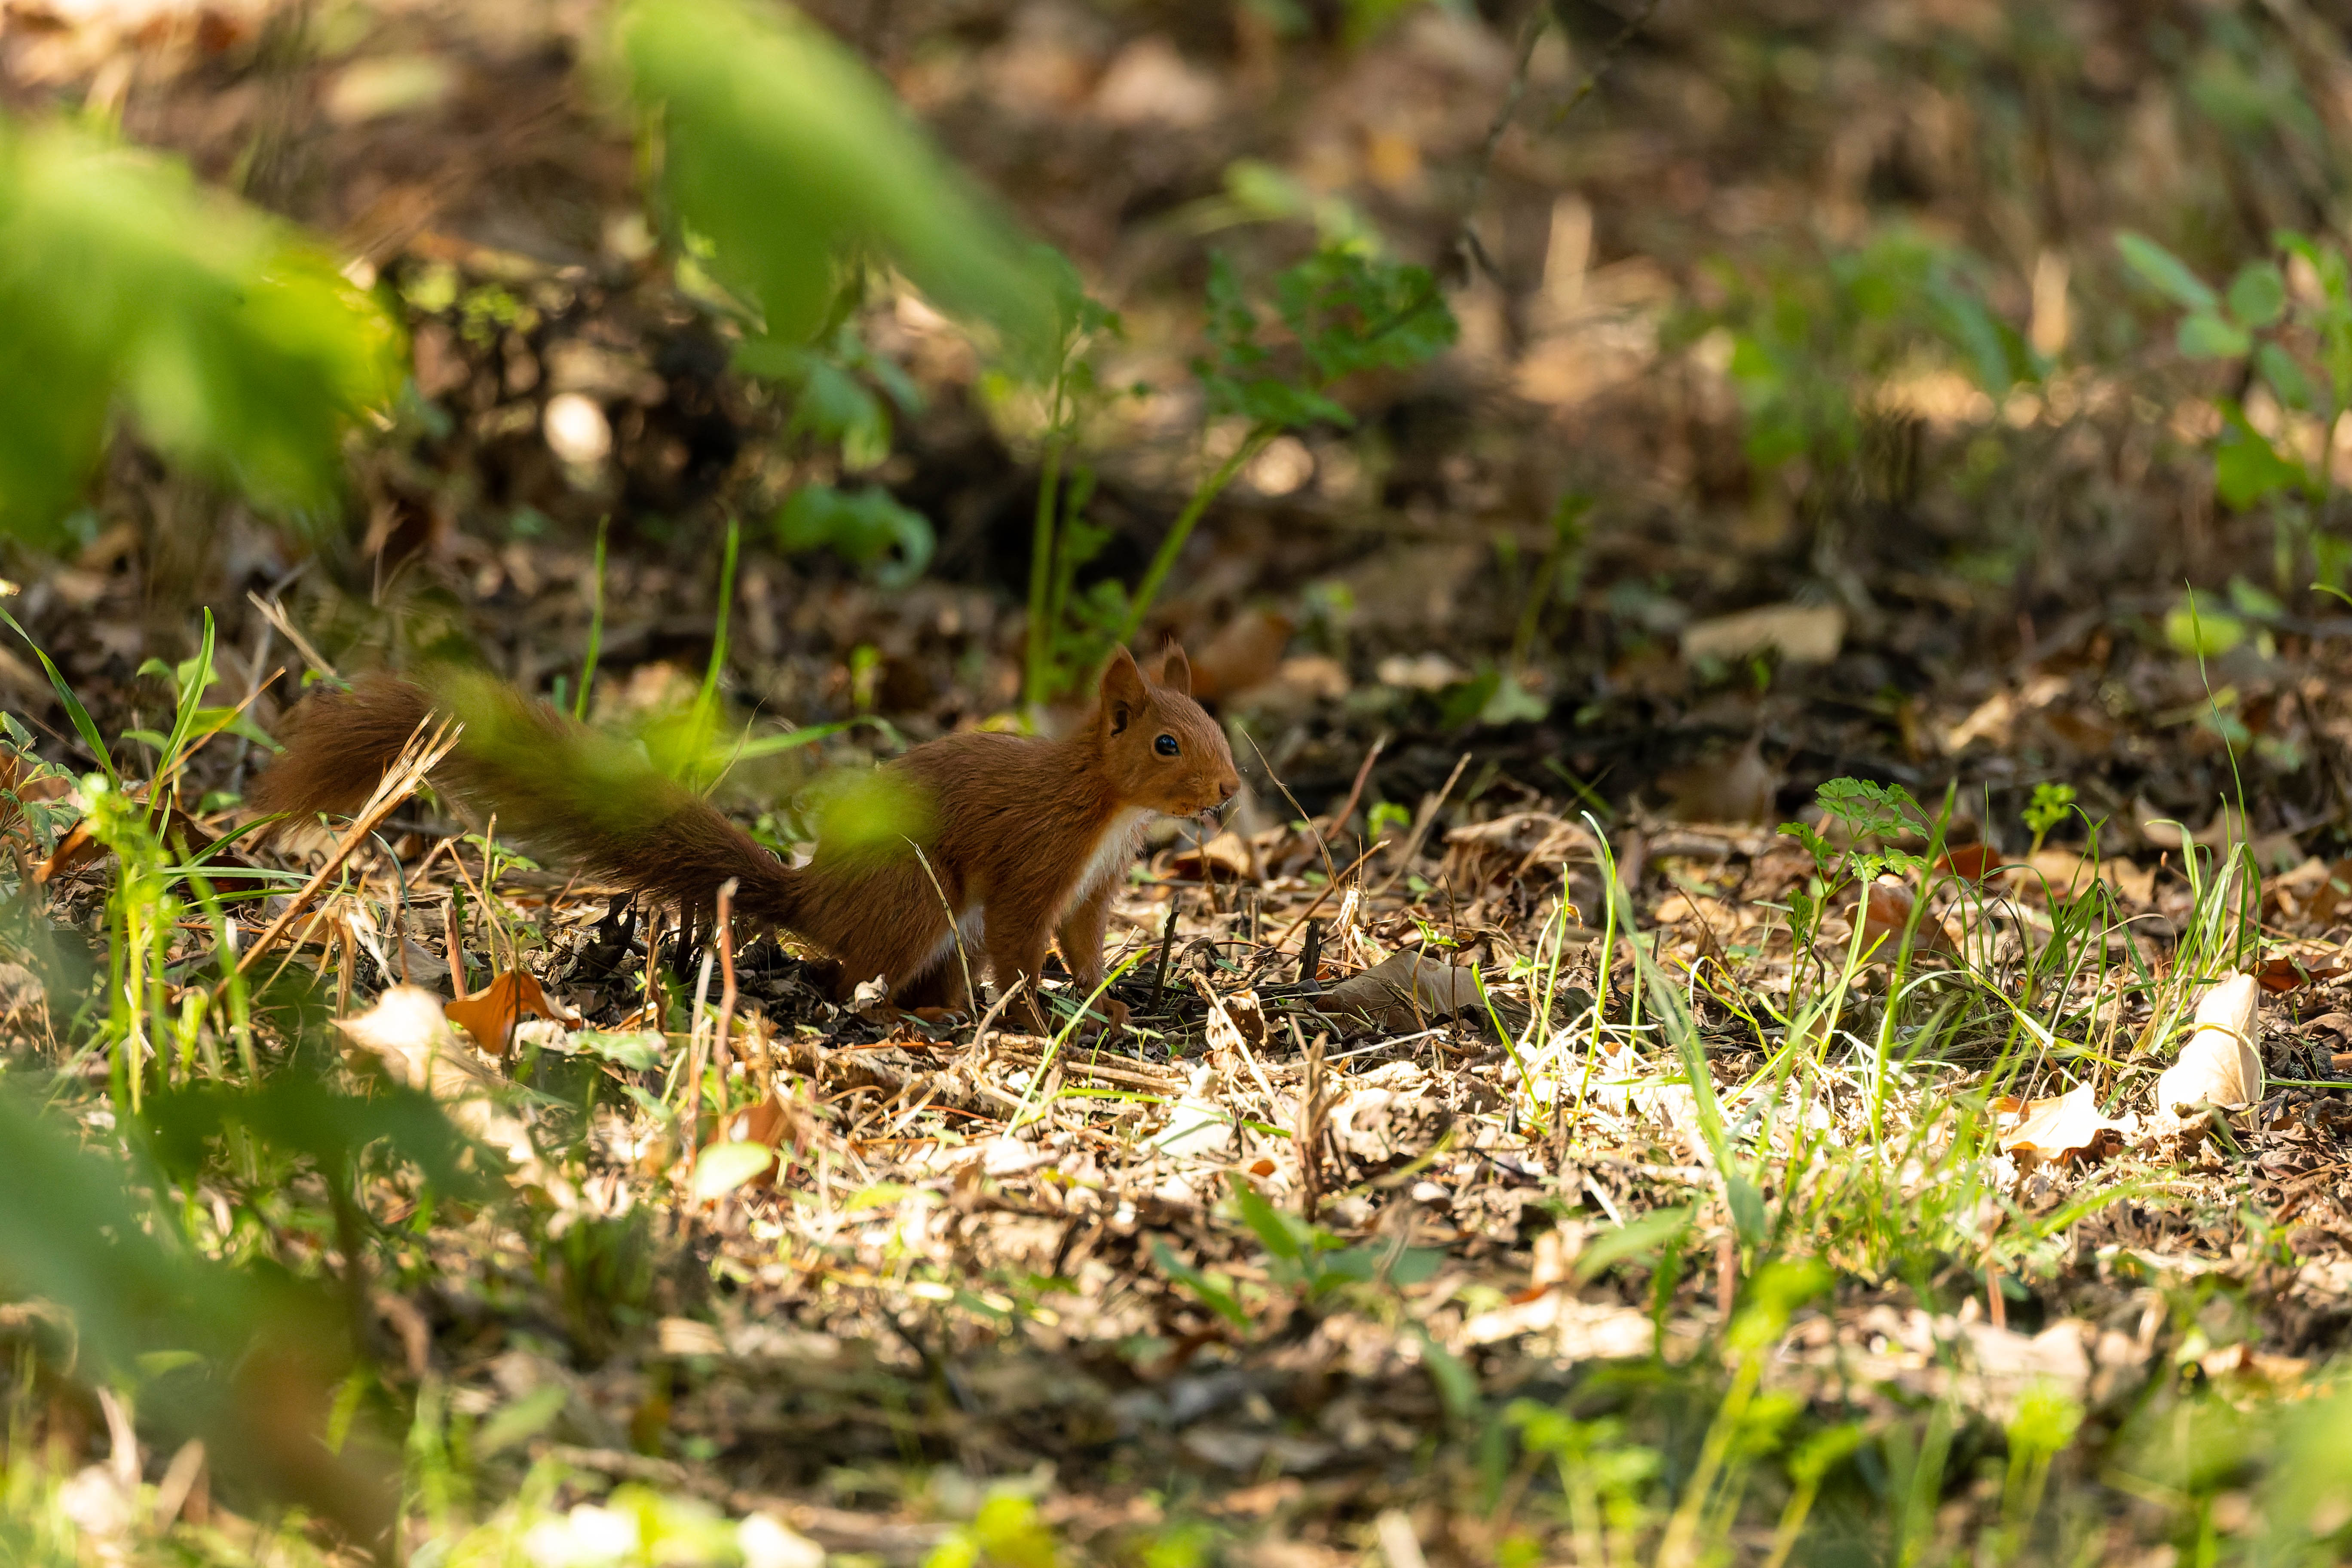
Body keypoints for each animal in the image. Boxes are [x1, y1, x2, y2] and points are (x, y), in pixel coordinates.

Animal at [251, 646, 1239, 1032]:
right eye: (1166, 743)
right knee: (845, 976)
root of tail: (818, 893)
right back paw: (901, 1014)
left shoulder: (1092, 886)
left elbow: (1081, 946)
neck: (1105, 808)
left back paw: (937, 1011)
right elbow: (1024, 949)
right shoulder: (1035, 860)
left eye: (1216, 727)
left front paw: (1106, 1004)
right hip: (918, 900)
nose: (1230, 791)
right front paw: (1036, 1020)